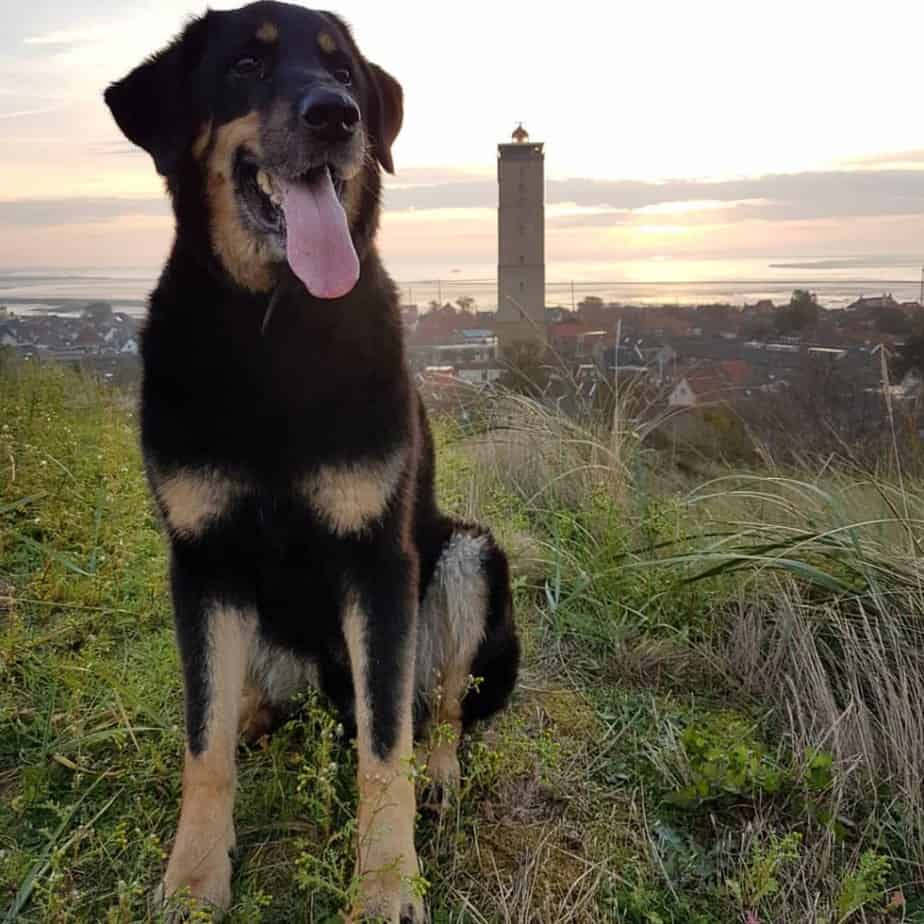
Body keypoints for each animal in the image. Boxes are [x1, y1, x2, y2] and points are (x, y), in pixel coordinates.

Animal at [104, 3, 520, 920]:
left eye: (343, 70)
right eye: (246, 65)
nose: (338, 116)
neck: (277, 327)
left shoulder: (378, 565)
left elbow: (385, 748)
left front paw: (387, 885)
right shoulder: (203, 563)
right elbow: (203, 744)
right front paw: (194, 878)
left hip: (468, 558)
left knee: (441, 710)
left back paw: (439, 775)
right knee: (242, 705)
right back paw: (254, 723)